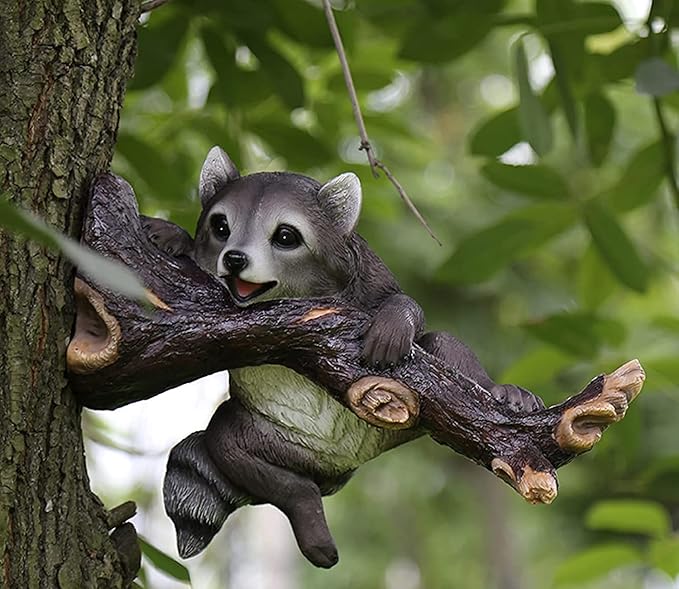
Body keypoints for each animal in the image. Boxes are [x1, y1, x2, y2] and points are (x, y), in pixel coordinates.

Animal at [143, 147, 543, 568]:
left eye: (285, 236)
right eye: (220, 227)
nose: (234, 259)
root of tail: (344, 462)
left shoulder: (368, 272)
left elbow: (406, 303)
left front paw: (398, 317)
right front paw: (175, 236)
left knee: (445, 346)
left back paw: (497, 390)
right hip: (279, 440)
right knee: (230, 442)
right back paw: (304, 505)